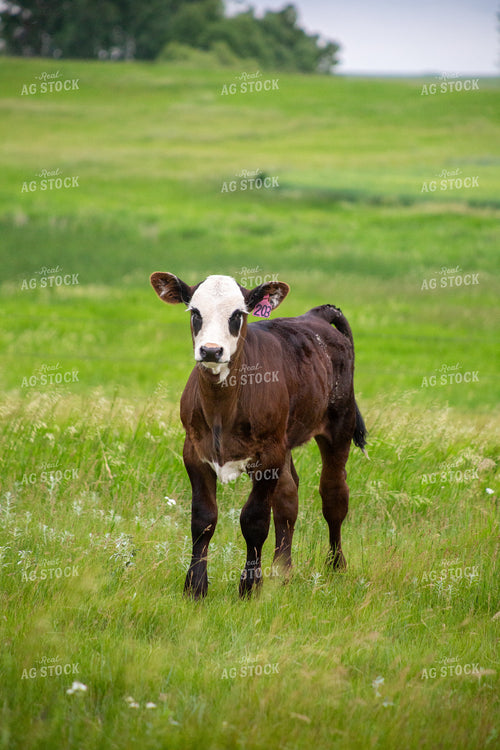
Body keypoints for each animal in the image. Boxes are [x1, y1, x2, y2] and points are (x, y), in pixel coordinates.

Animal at [150, 272, 367, 599]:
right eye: (195, 312)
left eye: (238, 314)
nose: (211, 351)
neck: (222, 407)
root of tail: (313, 316)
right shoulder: (194, 452)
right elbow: (203, 519)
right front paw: (195, 586)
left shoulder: (268, 456)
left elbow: (254, 520)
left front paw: (250, 586)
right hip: (286, 442)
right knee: (289, 497)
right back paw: (282, 571)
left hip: (338, 425)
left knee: (334, 495)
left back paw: (335, 566)